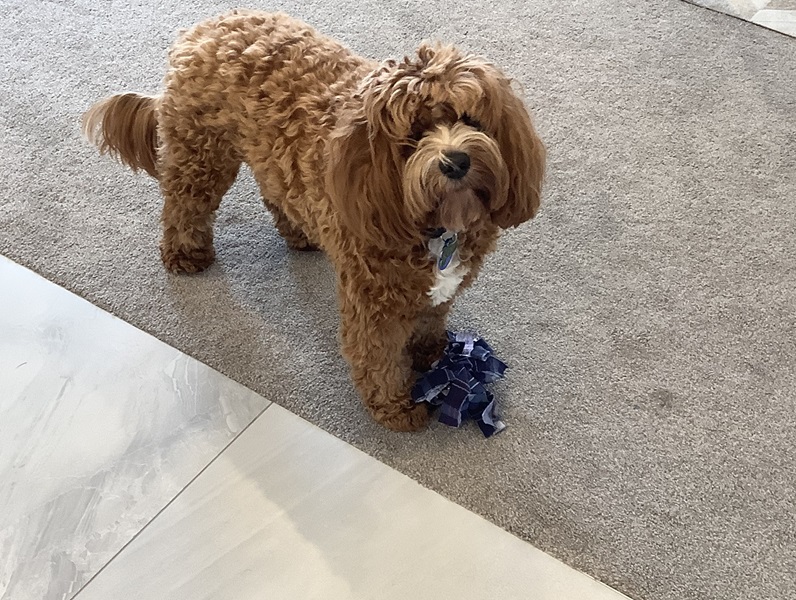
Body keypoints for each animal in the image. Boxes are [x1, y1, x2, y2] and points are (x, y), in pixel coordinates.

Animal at [82, 9, 548, 432]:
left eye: (471, 119)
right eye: (413, 136)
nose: (455, 161)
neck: (436, 226)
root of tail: (204, 26)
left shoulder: (438, 290)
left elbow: (431, 319)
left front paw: (431, 355)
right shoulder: (373, 302)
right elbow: (377, 357)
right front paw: (396, 408)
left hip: (269, 157)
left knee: (275, 194)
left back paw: (300, 234)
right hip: (201, 153)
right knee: (183, 204)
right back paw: (185, 254)